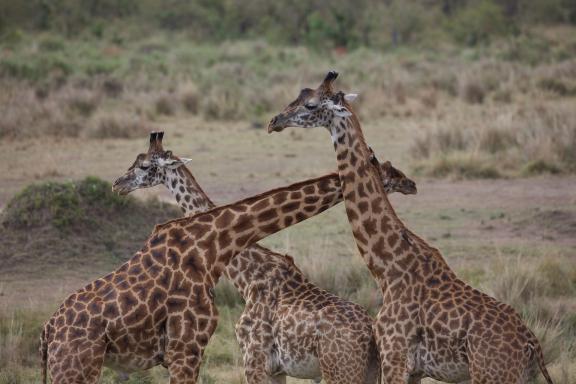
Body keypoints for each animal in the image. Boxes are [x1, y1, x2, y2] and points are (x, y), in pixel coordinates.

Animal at [112, 130, 418, 382]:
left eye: (144, 165)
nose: (118, 184)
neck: (247, 275)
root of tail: (370, 337)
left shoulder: (254, 358)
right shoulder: (276, 369)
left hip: (341, 372)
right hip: (369, 372)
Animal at [268, 71, 556, 384]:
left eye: (310, 104)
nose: (274, 121)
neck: (387, 267)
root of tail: (533, 345)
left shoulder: (394, 355)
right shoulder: (413, 368)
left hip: (492, 376)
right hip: (520, 377)